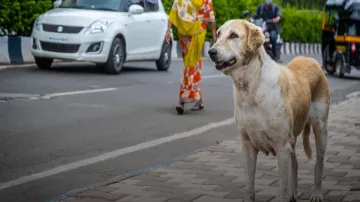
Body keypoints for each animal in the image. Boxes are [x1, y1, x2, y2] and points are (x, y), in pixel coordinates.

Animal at [208, 19, 330, 202]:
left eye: (233, 35)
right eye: (218, 34)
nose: (211, 51)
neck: (251, 87)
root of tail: (312, 60)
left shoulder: (282, 146)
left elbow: (282, 190)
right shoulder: (248, 145)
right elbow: (249, 184)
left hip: (320, 128)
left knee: (319, 163)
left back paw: (316, 193)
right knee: (295, 164)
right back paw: (294, 193)